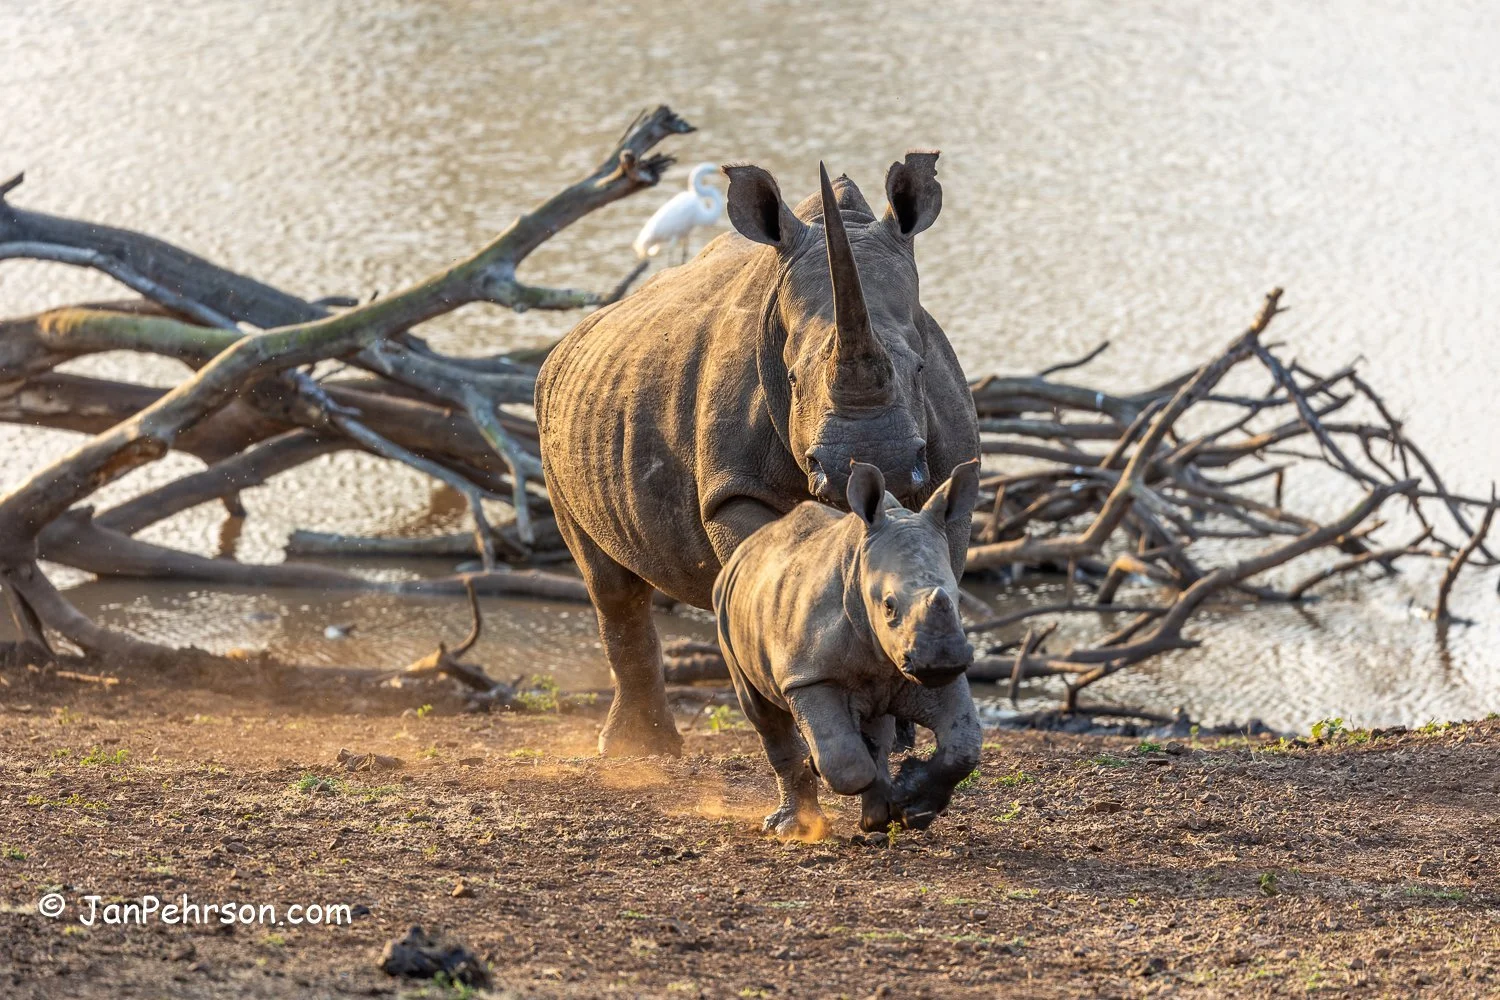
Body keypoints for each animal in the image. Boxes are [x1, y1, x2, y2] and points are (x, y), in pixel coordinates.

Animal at [535, 153, 980, 756]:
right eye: (790, 379)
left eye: (919, 367)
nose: (870, 463)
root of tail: (571, 338)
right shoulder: (733, 489)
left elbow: (928, 574)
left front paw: (900, 725)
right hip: (550, 410)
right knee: (611, 586)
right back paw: (639, 750)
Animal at [714, 460, 983, 838]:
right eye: (888, 605)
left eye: (958, 600)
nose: (941, 660)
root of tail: (746, 549)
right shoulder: (808, 675)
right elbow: (845, 762)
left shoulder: (923, 672)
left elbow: (964, 743)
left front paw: (911, 804)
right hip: (725, 607)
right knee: (762, 713)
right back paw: (792, 829)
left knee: (876, 725)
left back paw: (876, 820)